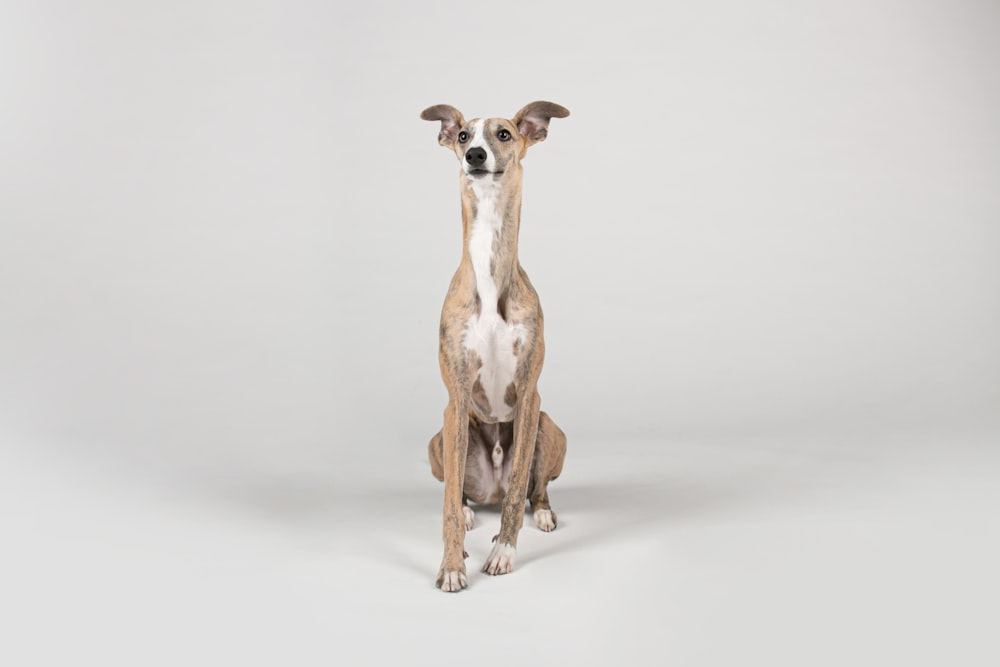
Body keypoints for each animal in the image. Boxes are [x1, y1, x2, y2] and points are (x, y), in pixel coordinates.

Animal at [420, 102, 572, 592]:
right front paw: (452, 565)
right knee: (460, 491)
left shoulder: (528, 394)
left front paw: (503, 552)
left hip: (548, 425)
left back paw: (541, 512)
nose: (475, 156)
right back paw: (471, 511)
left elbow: (521, 478)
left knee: (531, 489)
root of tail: (493, 489)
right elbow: (448, 504)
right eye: (463, 135)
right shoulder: (455, 396)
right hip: (440, 437)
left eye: (504, 133)